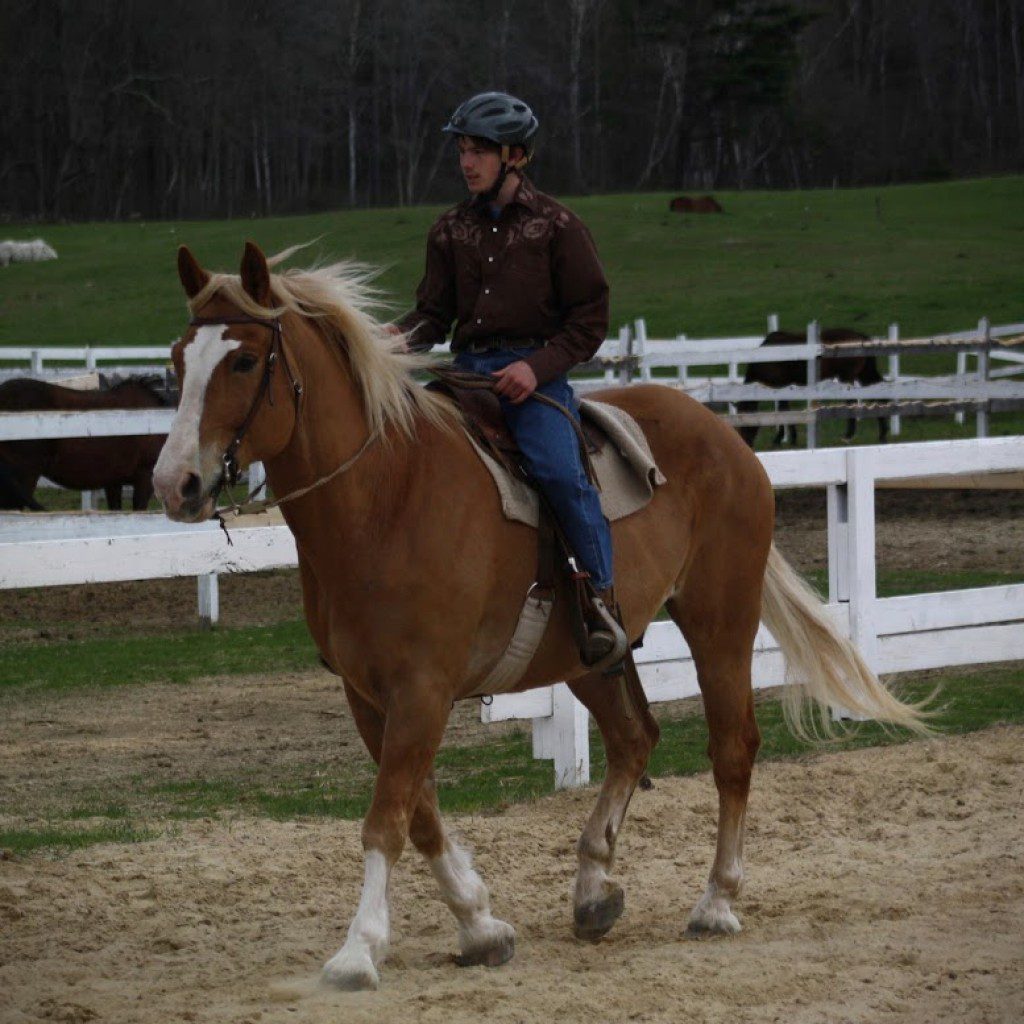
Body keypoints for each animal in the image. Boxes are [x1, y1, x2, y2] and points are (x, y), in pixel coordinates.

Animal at [737, 329, 888, 450]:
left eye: (745, 425)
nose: (746, 444)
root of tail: (862, 337)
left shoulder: (781, 387)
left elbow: (783, 410)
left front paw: (780, 439)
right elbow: (786, 410)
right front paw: (791, 439)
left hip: (848, 377)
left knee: (851, 402)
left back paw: (849, 436)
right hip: (865, 374)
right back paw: (882, 435)